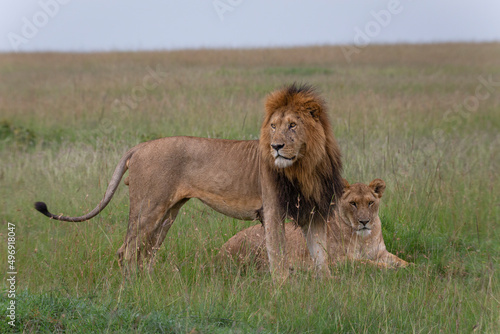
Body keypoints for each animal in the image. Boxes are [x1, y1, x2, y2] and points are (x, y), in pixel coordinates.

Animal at [33, 83, 342, 276]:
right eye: (273, 126)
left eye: (293, 125)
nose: (275, 146)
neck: (306, 165)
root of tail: (140, 146)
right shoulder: (272, 210)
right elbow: (278, 259)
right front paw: (282, 293)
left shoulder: (313, 213)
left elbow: (322, 259)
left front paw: (327, 293)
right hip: (148, 208)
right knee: (127, 251)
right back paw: (133, 289)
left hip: (168, 213)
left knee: (146, 253)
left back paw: (148, 286)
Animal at [221, 179, 408, 270]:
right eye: (353, 203)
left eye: (370, 203)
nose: (364, 221)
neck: (363, 238)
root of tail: (221, 250)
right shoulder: (336, 260)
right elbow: (365, 263)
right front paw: (387, 268)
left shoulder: (381, 253)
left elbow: (400, 260)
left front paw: (412, 267)